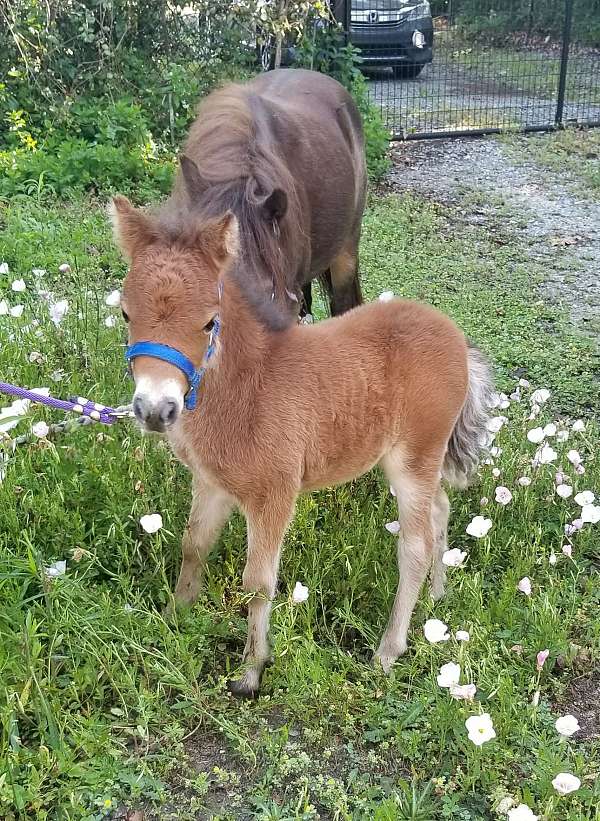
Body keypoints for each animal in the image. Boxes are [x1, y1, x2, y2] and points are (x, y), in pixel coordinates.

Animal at [111, 202, 492, 696]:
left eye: (209, 321)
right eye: (125, 314)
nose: (156, 410)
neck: (247, 387)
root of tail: (458, 340)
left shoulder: (273, 493)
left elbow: (257, 582)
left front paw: (251, 671)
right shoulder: (211, 483)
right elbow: (193, 546)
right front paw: (174, 620)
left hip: (414, 456)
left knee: (415, 546)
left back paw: (388, 652)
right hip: (420, 458)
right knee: (440, 511)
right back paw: (435, 598)